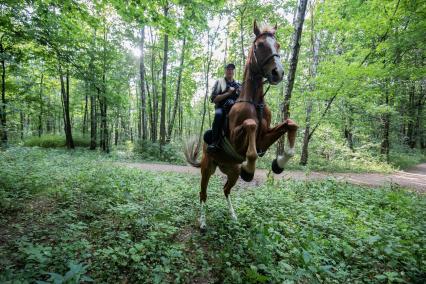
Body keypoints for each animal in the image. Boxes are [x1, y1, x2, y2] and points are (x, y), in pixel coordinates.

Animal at [185, 20, 298, 233]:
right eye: (260, 45)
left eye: (278, 45)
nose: (278, 73)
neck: (255, 103)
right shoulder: (238, 139)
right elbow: (250, 125)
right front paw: (250, 168)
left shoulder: (264, 139)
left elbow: (291, 124)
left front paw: (279, 163)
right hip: (207, 169)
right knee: (203, 194)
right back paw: (203, 223)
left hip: (232, 171)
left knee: (225, 190)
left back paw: (233, 216)